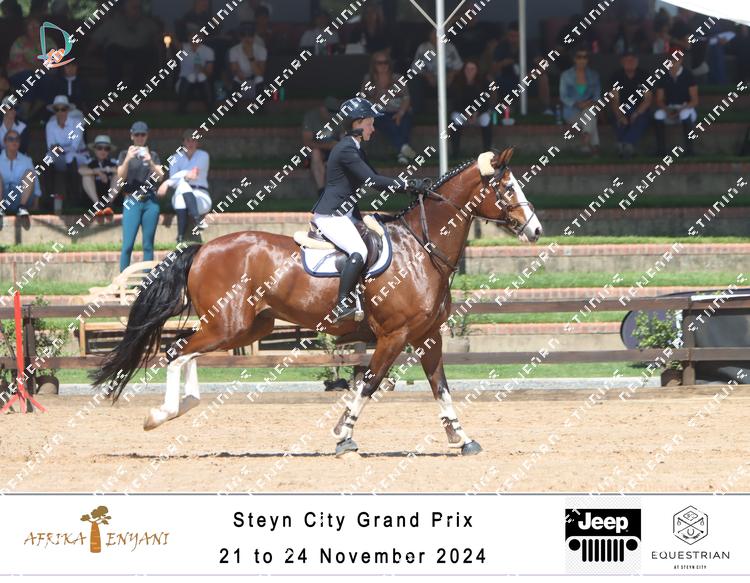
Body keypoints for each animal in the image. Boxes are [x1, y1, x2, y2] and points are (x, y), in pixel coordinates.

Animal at [91, 147, 543, 456]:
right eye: (507, 188)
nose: (536, 229)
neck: (422, 249)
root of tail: (202, 249)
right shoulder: (394, 336)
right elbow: (369, 384)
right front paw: (343, 436)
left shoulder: (427, 336)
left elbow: (440, 387)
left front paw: (461, 437)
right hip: (227, 325)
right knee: (175, 352)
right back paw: (162, 414)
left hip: (249, 327)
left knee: (184, 353)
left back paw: (181, 406)